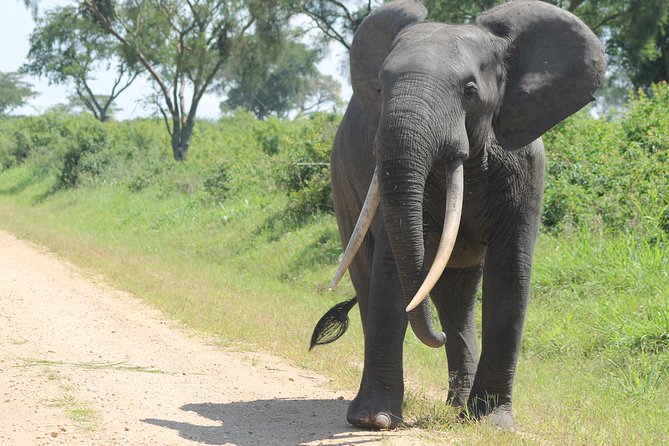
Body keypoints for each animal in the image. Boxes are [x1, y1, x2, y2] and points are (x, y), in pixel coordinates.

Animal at [314, 0, 604, 432]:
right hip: (344, 182)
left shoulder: (527, 169)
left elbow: (511, 272)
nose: (436, 338)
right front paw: (374, 421)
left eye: (470, 91)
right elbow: (389, 266)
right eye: (381, 88)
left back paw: (459, 407)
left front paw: (493, 423)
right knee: (369, 277)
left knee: (456, 296)